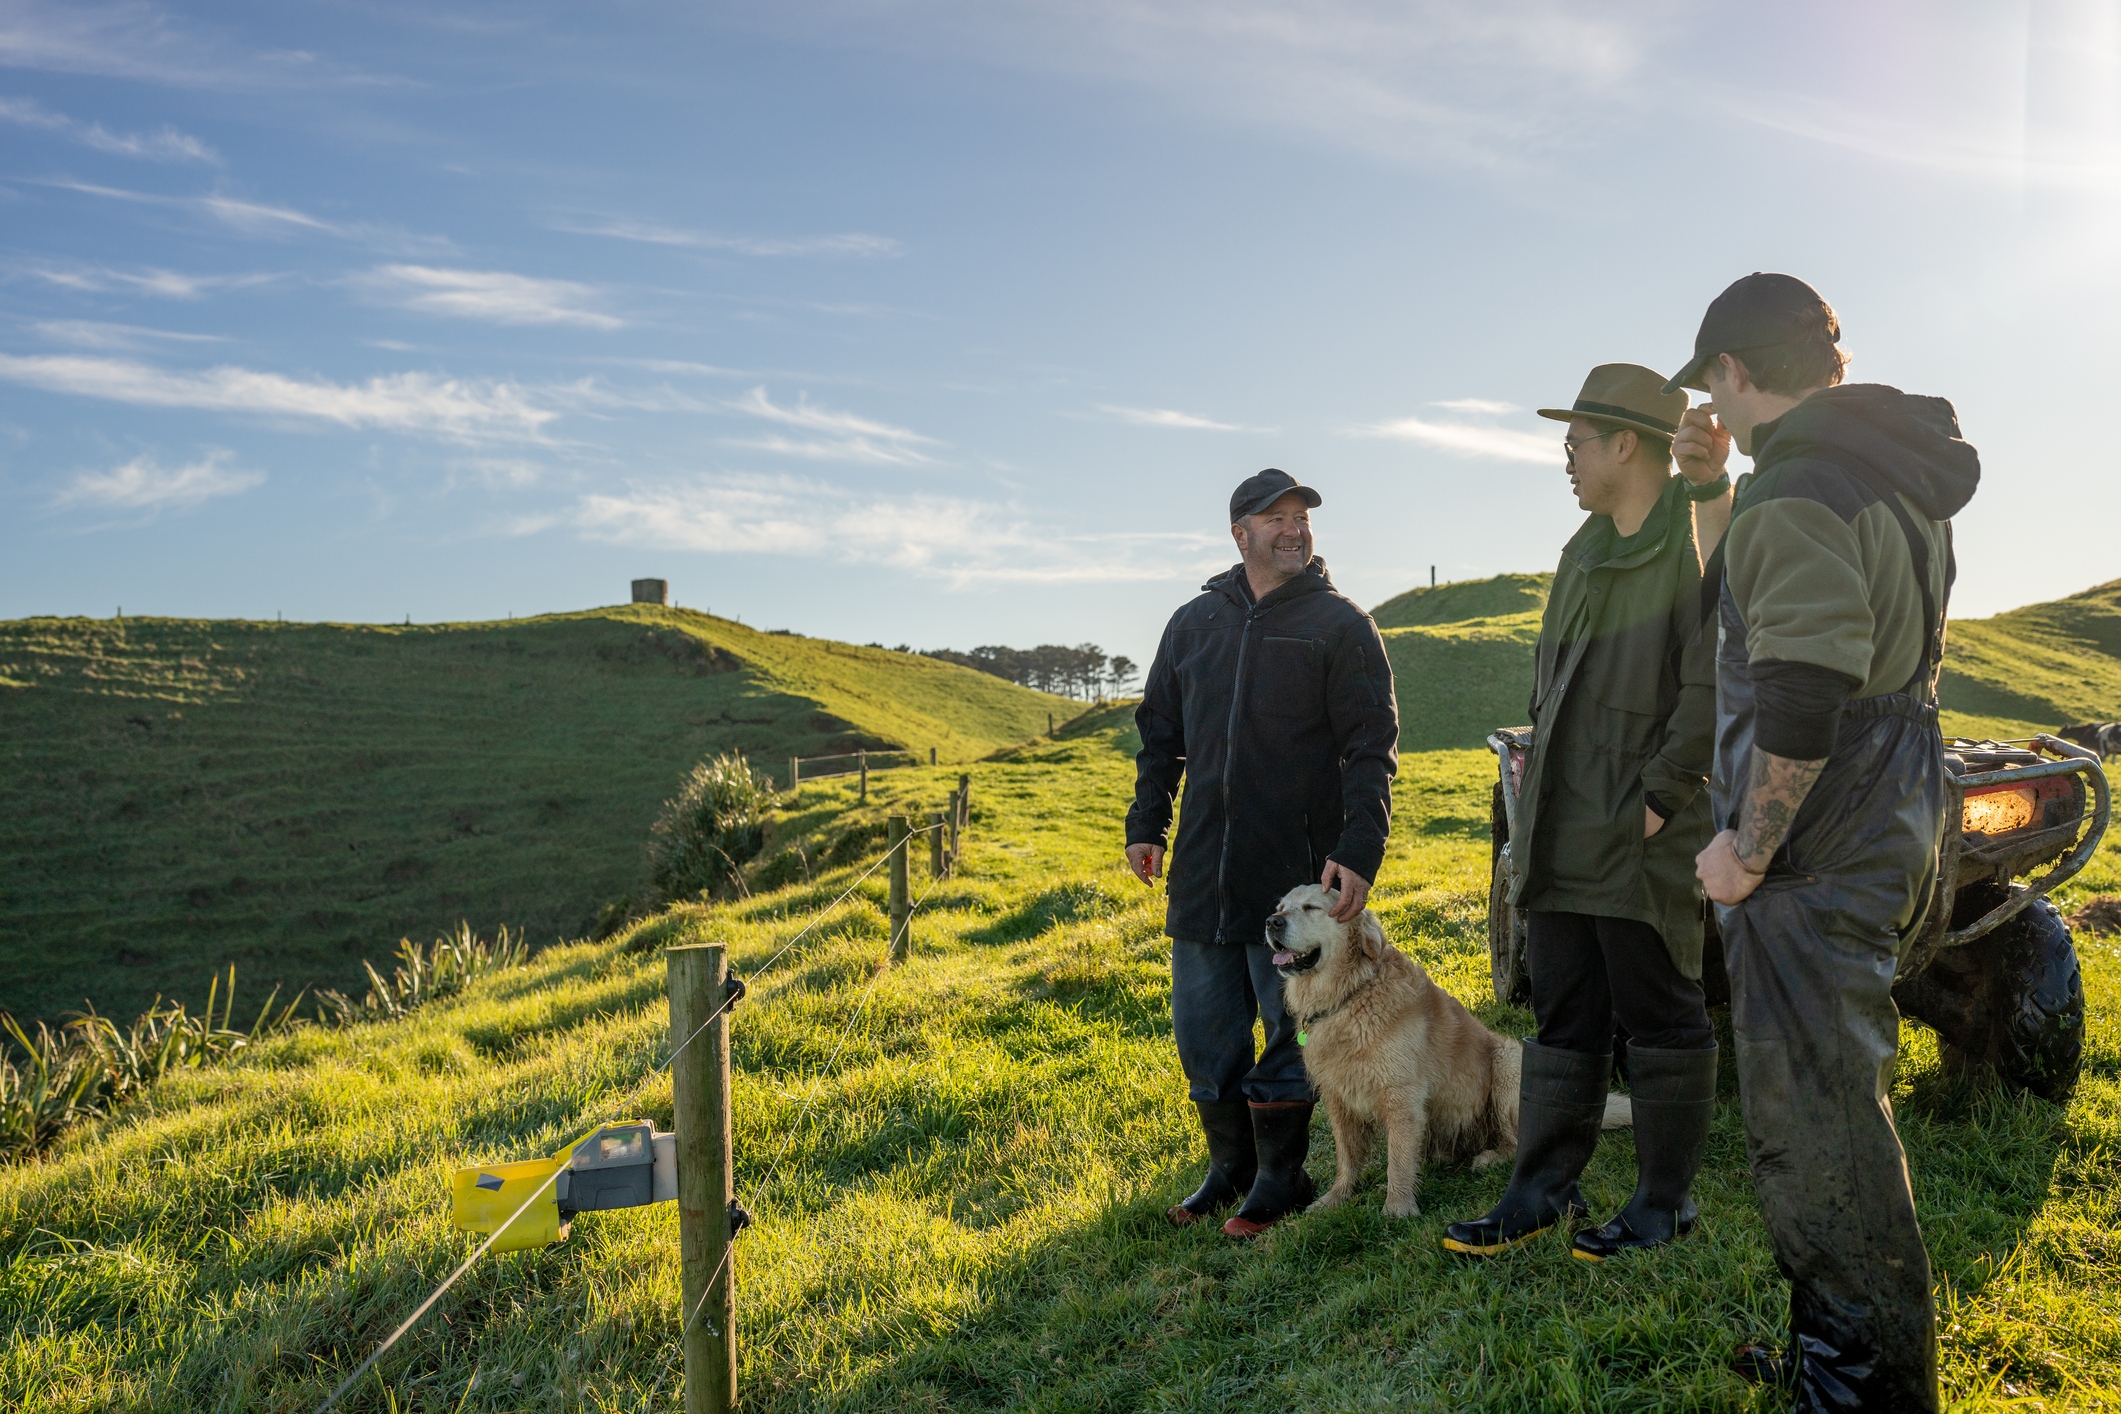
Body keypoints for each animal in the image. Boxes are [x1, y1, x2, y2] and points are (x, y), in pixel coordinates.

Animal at [1264, 886, 1628, 1221]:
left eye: (1311, 907)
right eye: (1280, 907)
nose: (1271, 922)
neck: (1350, 995)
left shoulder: (1401, 1097)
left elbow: (1398, 1159)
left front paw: (1397, 1208)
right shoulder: (1338, 1098)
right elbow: (1348, 1156)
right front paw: (1336, 1198)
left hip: (1508, 1065)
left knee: (1518, 1143)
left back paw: (1489, 1157)